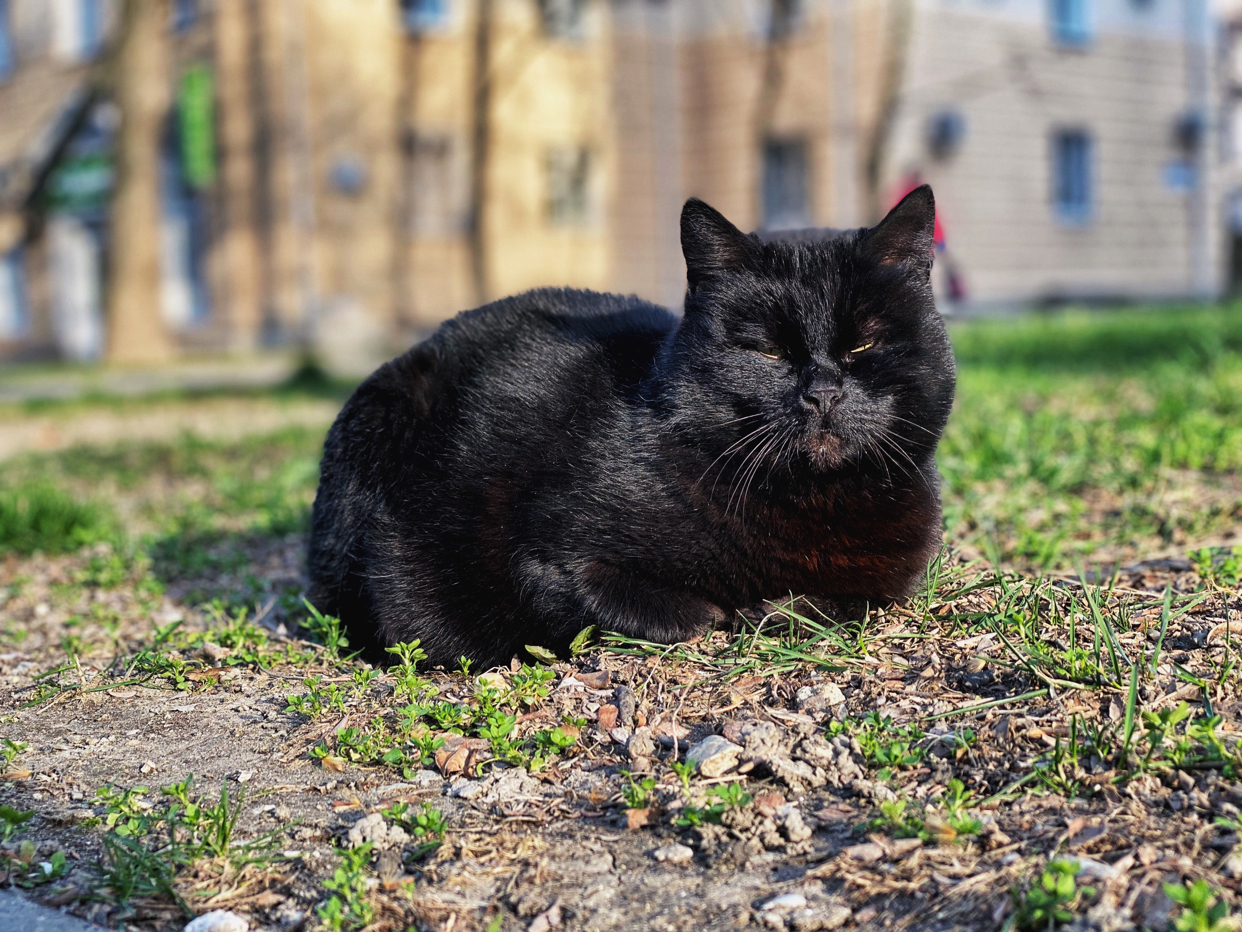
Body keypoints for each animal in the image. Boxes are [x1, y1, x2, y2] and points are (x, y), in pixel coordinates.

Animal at [305, 183, 953, 666]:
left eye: (863, 345)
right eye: (767, 351)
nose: (822, 393)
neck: (809, 501)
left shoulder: (896, 569)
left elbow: (861, 599)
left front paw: (780, 609)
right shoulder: (547, 552)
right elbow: (643, 604)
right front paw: (728, 612)